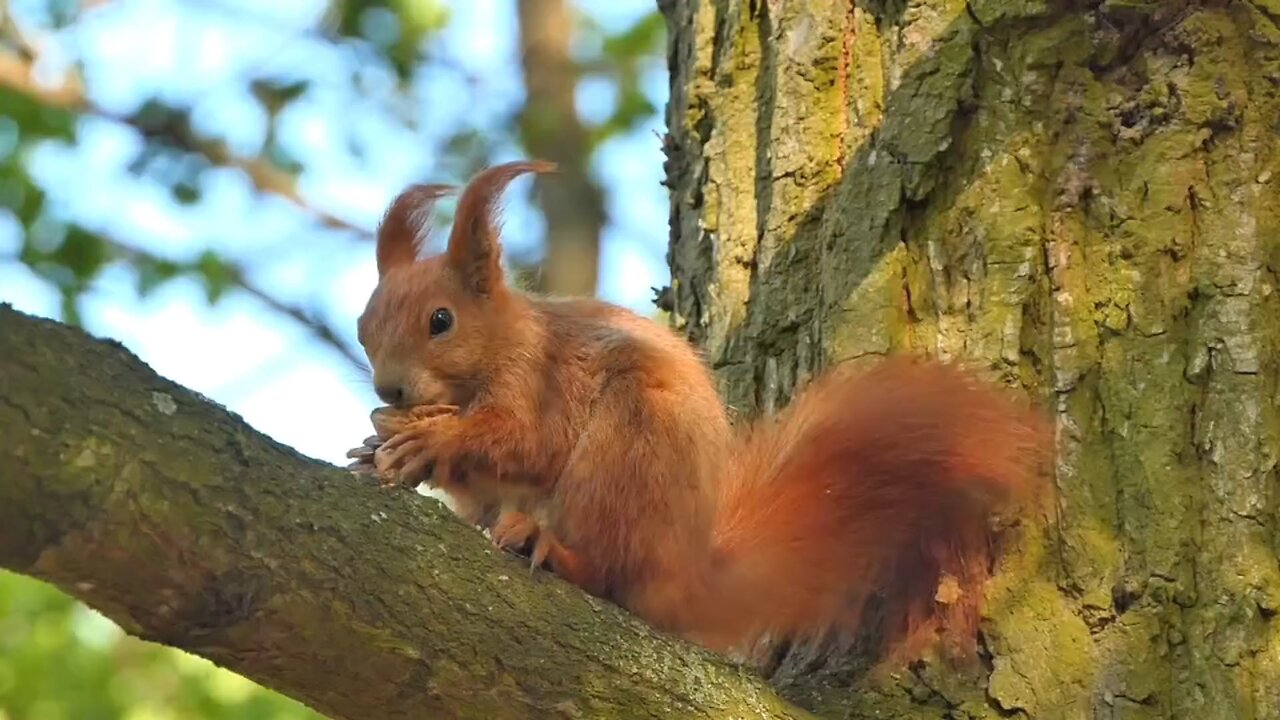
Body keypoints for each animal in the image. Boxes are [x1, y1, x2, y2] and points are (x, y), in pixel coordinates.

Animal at [343, 159, 1049, 666]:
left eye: (441, 320)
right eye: (361, 328)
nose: (390, 390)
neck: (501, 345)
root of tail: (683, 577)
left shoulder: (542, 378)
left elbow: (528, 442)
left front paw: (431, 440)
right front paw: (378, 447)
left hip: (627, 454)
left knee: (609, 574)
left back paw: (548, 547)